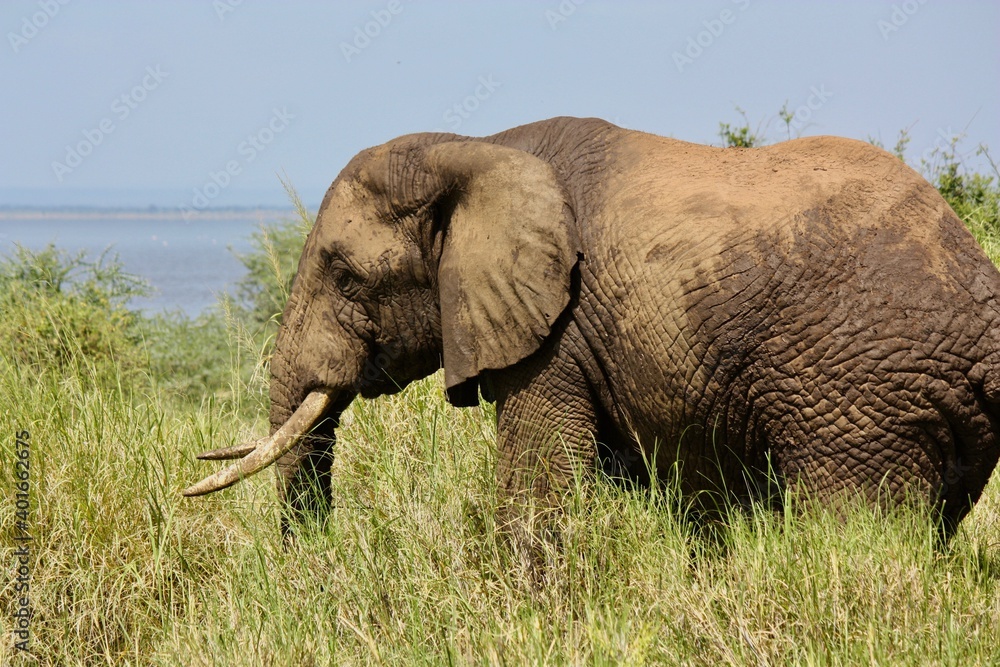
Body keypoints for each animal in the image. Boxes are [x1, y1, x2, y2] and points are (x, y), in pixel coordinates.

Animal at [184, 116, 1000, 542]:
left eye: (348, 277)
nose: (314, 562)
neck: (473, 147)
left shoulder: (558, 331)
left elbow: (541, 478)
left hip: (856, 396)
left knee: (852, 527)